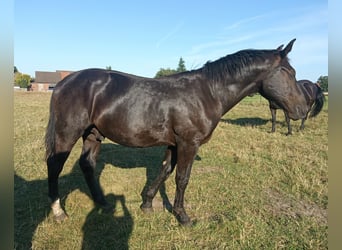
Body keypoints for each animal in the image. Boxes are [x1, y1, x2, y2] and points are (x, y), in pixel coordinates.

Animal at [44, 38, 308, 225]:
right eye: (289, 73)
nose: (302, 109)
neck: (207, 92)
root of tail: (64, 82)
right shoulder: (189, 143)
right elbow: (182, 178)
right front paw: (182, 216)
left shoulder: (174, 143)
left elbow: (164, 171)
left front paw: (147, 204)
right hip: (67, 133)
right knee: (54, 166)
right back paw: (58, 212)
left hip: (93, 133)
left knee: (87, 164)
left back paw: (102, 203)